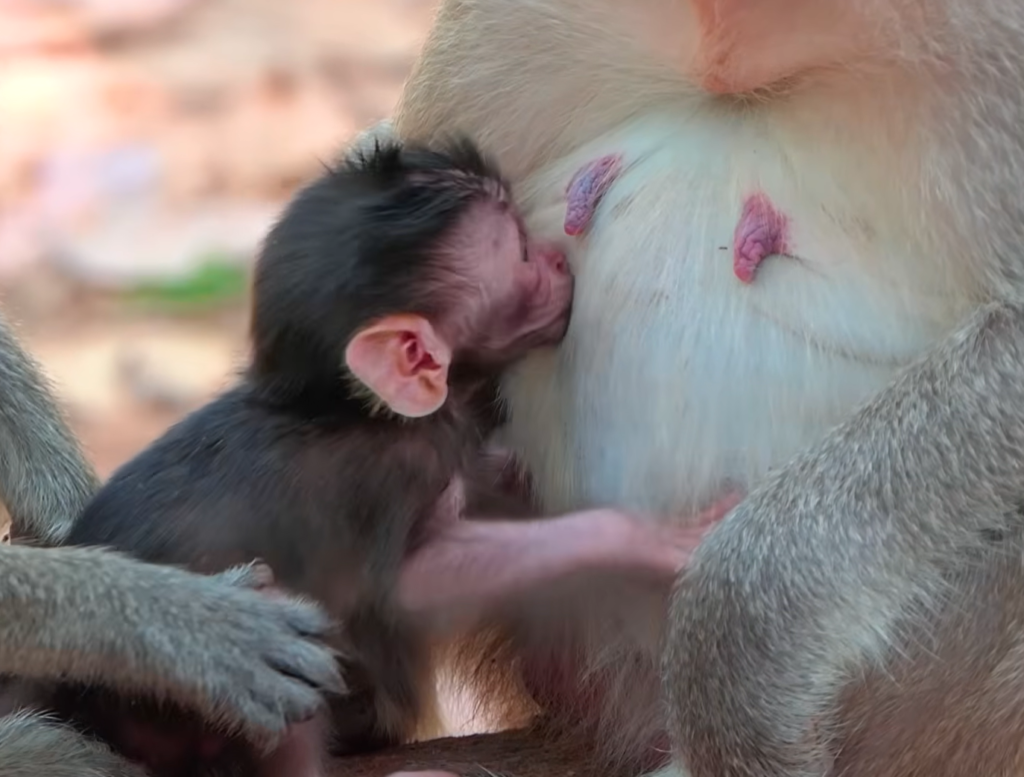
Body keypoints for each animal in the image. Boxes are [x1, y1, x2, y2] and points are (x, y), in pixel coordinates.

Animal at [57, 137, 708, 777]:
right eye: (521, 252)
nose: (555, 258)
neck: (350, 408)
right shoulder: (393, 470)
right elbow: (411, 586)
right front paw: (640, 536)